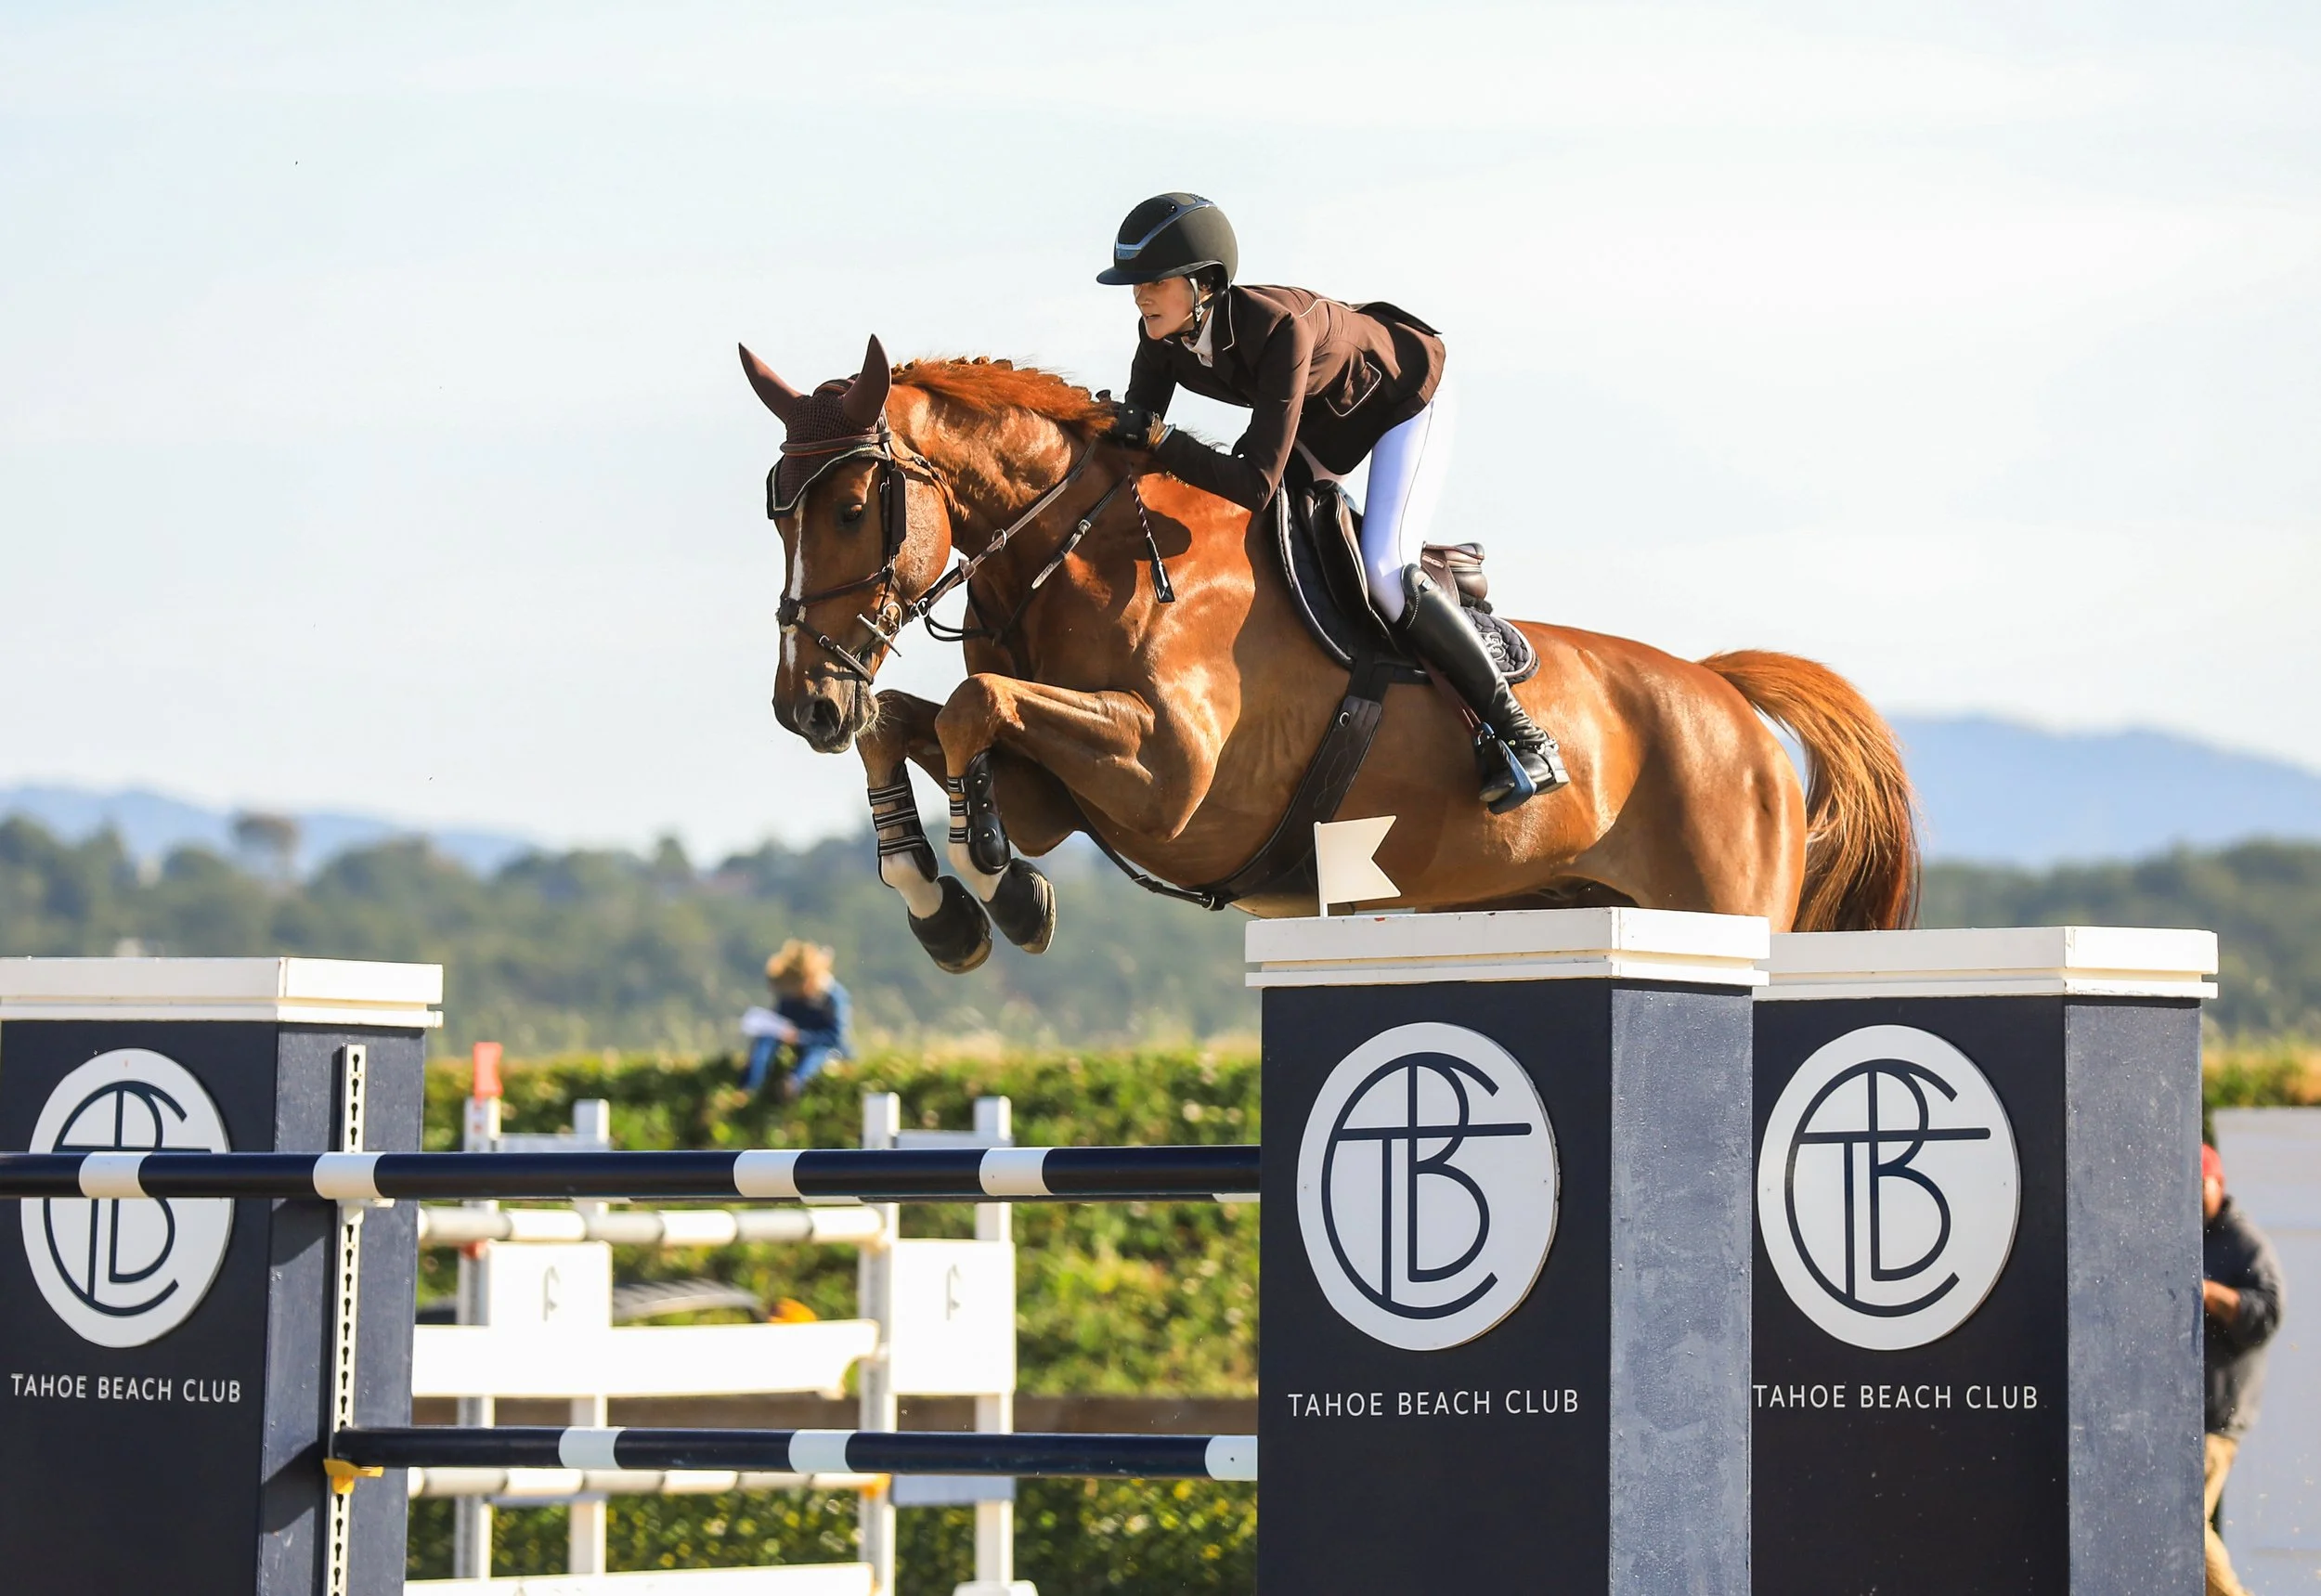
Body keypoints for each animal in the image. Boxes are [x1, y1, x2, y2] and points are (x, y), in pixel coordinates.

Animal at [739, 335, 1918, 973]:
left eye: (851, 509)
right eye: (772, 513)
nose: (804, 708)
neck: (1084, 551)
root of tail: (1723, 695)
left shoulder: (1169, 780)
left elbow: (975, 702)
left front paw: (999, 884)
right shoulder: (1063, 792)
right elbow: (920, 723)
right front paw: (944, 906)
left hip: (1726, 909)